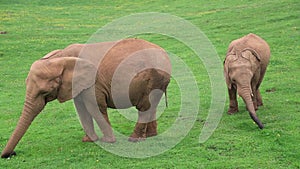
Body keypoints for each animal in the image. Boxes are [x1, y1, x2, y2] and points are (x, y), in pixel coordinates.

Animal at [1, 38, 171, 158]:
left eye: (44, 91)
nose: (11, 154)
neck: (61, 56)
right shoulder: (76, 85)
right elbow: (81, 109)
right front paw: (89, 140)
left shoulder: (93, 83)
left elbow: (94, 107)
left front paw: (107, 141)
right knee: (151, 107)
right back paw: (150, 136)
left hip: (153, 78)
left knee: (144, 107)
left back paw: (134, 140)